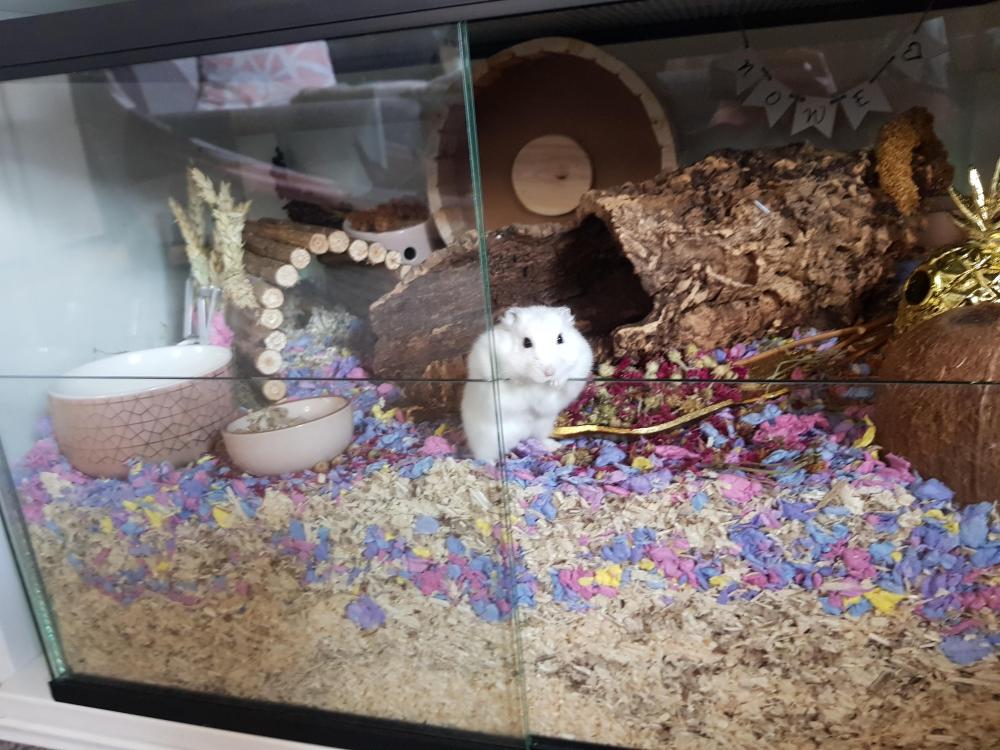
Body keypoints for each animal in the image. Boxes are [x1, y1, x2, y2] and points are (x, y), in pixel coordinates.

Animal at [462, 305, 593, 463]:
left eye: (560, 339)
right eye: (526, 343)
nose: (549, 372)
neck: (536, 381)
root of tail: (521, 435)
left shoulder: (582, 360)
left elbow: (569, 374)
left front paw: (556, 383)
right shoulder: (488, 353)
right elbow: (505, 373)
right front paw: (519, 381)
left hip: (543, 425)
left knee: (539, 438)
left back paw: (554, 446)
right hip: (486, 438)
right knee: (483, 455)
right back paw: (491, 464)